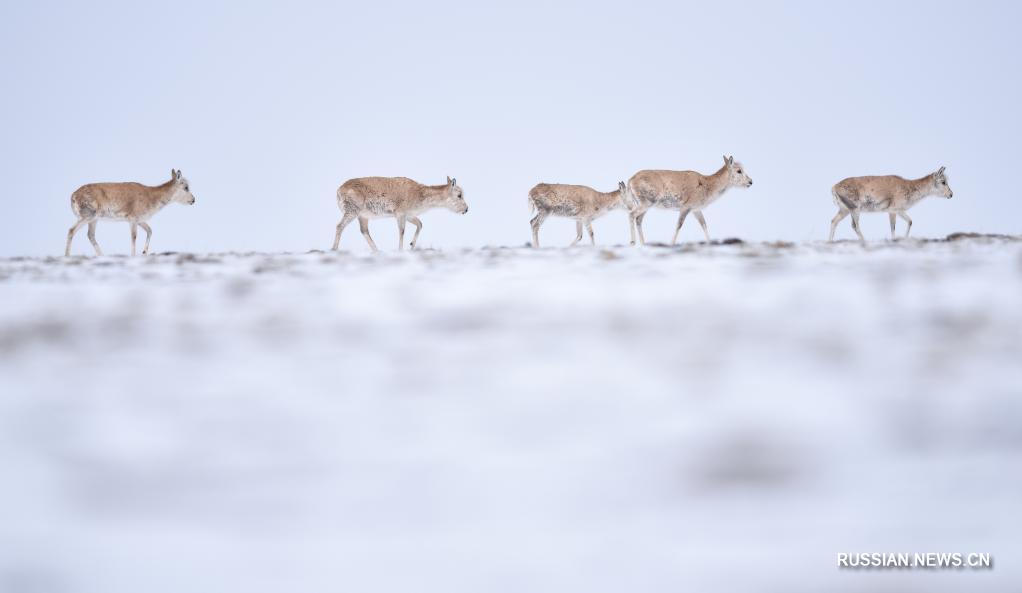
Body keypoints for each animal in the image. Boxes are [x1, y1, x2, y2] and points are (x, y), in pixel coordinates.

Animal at [66, 168, 199, 256]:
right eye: (186, 187)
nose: (193, 200)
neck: (152, 196)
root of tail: (73, 196)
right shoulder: (133, 219)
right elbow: (134, 237)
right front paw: (134, 255)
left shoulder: (140, 220)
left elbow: (150, 230)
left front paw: (144, 252)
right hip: (88, 216)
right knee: (72, 230)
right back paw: (67, 255)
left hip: (94, 219)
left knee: (90, 235)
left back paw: (102, 255)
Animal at [331, 174, 468, 251]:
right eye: (459, 195)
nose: (466, 209)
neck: (419, 194)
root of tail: (338, 190)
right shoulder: (400, 214)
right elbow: (402, 231)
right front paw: (401, 249)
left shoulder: (409, 215)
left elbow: (420, 224)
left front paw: (411, 245)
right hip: (352, 212)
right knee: (339, 226)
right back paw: (334, 249)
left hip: (363, 216)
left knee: (364, 230)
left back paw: (377, 250)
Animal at [621, 155, 752, 245]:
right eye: (739, 171)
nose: (751, 181)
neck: (708, 186)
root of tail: (630, 181)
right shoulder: (686, 207)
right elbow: (679, 225)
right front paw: (671, 243)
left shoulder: (696, 209)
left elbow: (704, 224)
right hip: (646, 203)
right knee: (631, 214)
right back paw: (632, 242)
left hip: (645, 205)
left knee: (638, 219)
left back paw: (643, 243)